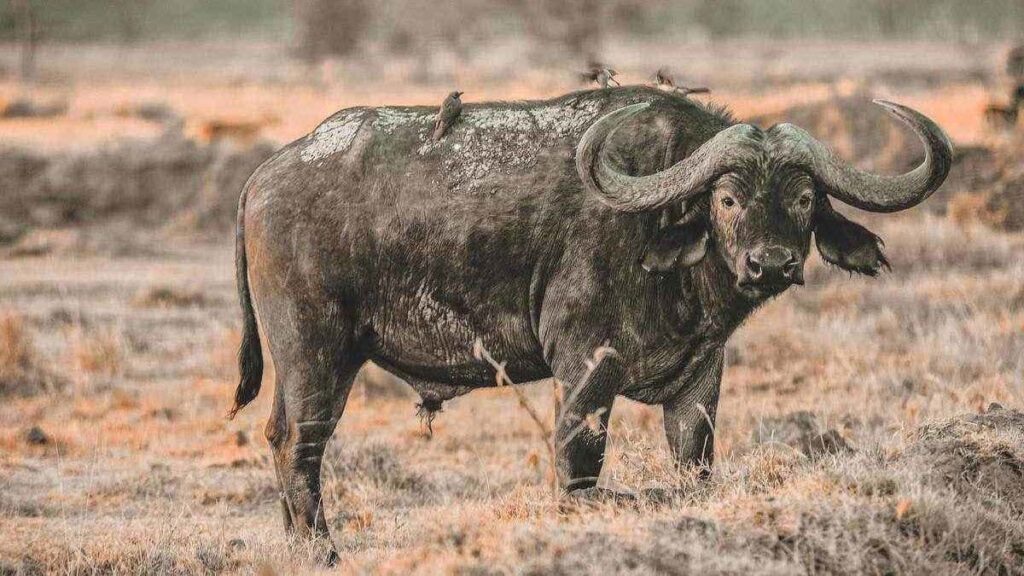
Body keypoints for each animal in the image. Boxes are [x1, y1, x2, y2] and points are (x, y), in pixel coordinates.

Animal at [230, 85, 950, 557]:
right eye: (726, 198)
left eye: (803, 199)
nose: (769, 263)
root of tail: (265, 174)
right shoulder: (584, 366)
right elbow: (580, 464)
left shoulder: (700, 376)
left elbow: (696, 465)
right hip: (317, 353)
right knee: (299, 445)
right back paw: (322, 552)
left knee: (276, 436)